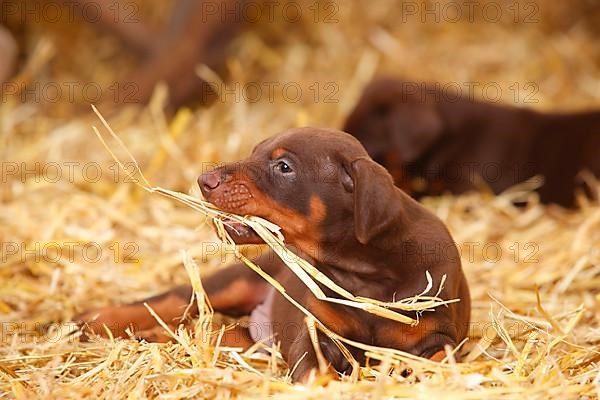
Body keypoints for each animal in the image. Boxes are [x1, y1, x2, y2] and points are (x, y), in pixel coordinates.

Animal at [77, 127, 472, 382]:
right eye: (254, 152)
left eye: (284, 167)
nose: (205, 181)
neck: (365, 272)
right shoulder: (316, 331)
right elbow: (315, 370)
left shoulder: (435, 335)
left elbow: (443, 358)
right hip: (235, 280)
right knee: (169, 302)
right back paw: (94, 319)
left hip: (250, 339)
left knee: (202, 329)